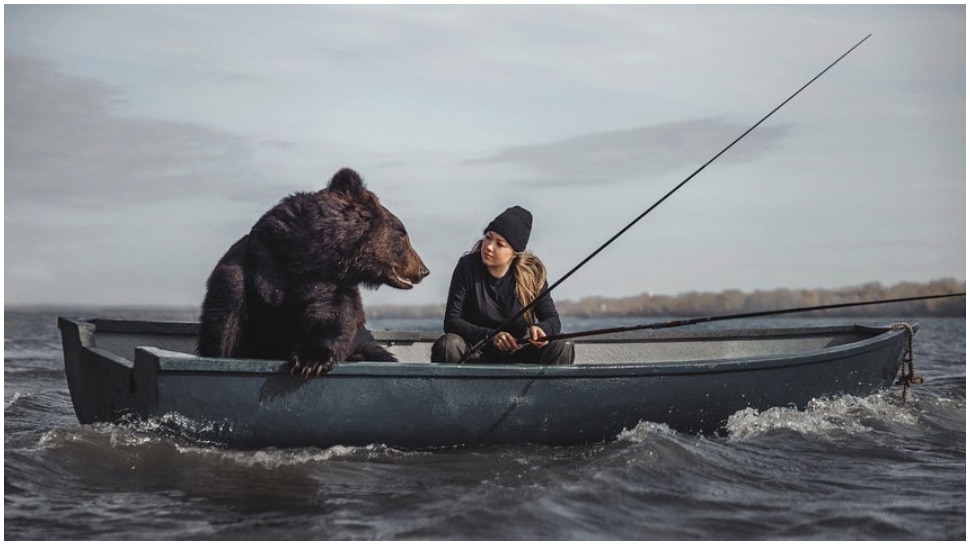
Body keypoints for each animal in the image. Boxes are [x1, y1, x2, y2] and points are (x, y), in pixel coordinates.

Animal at [197, 168, 428, 376]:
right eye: (402, 234)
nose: (424, 270)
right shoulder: (248, 267)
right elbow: (225, 325)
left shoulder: (325, 281)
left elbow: (329, 315)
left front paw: (312, 360)